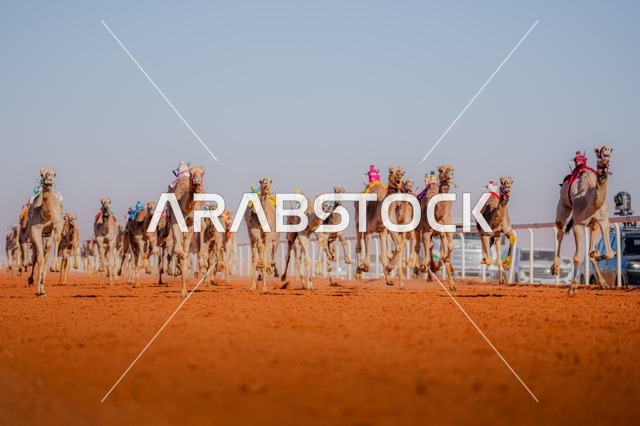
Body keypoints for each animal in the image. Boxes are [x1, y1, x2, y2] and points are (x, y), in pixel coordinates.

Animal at [166, 165, 206, 297]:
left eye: (203, 173)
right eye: (191, 173)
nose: (197, 183)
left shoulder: (192, 222)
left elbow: (185, 251)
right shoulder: (174, 220)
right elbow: (179, 250)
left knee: (202, 226)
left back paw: (202, 266)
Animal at [552, 146, 614, 296]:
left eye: (610, 151)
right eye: (599, 152)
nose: (606, 155)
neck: (592, 200)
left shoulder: (603, 220)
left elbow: (609, 253)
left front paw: (595, 254)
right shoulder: (578, 224)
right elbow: (576, 258)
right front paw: (573, 287)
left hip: (593, 225)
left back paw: (603, 283)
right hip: (563, 206)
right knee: (560, 231)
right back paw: (555, 266)